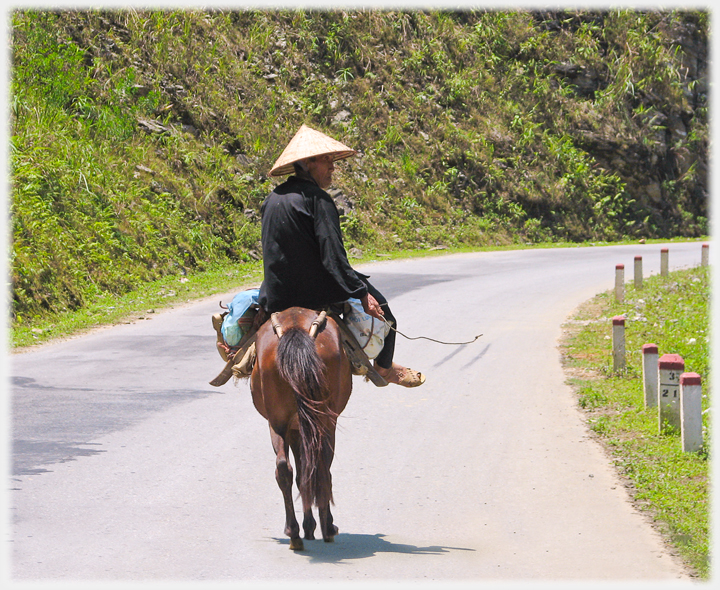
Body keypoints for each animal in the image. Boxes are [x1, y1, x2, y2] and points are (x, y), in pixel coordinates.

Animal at [249, 308, 352, 552]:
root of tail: (295, 328)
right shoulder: (306, 427)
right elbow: (311, 470)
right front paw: (316, 526)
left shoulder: (294, 428)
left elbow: (302, 472)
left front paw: (308, 526)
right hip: (324, 420)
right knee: (321, 465)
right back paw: (325, 527)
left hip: (278, 422)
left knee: (284, 468)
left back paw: (294, 533)